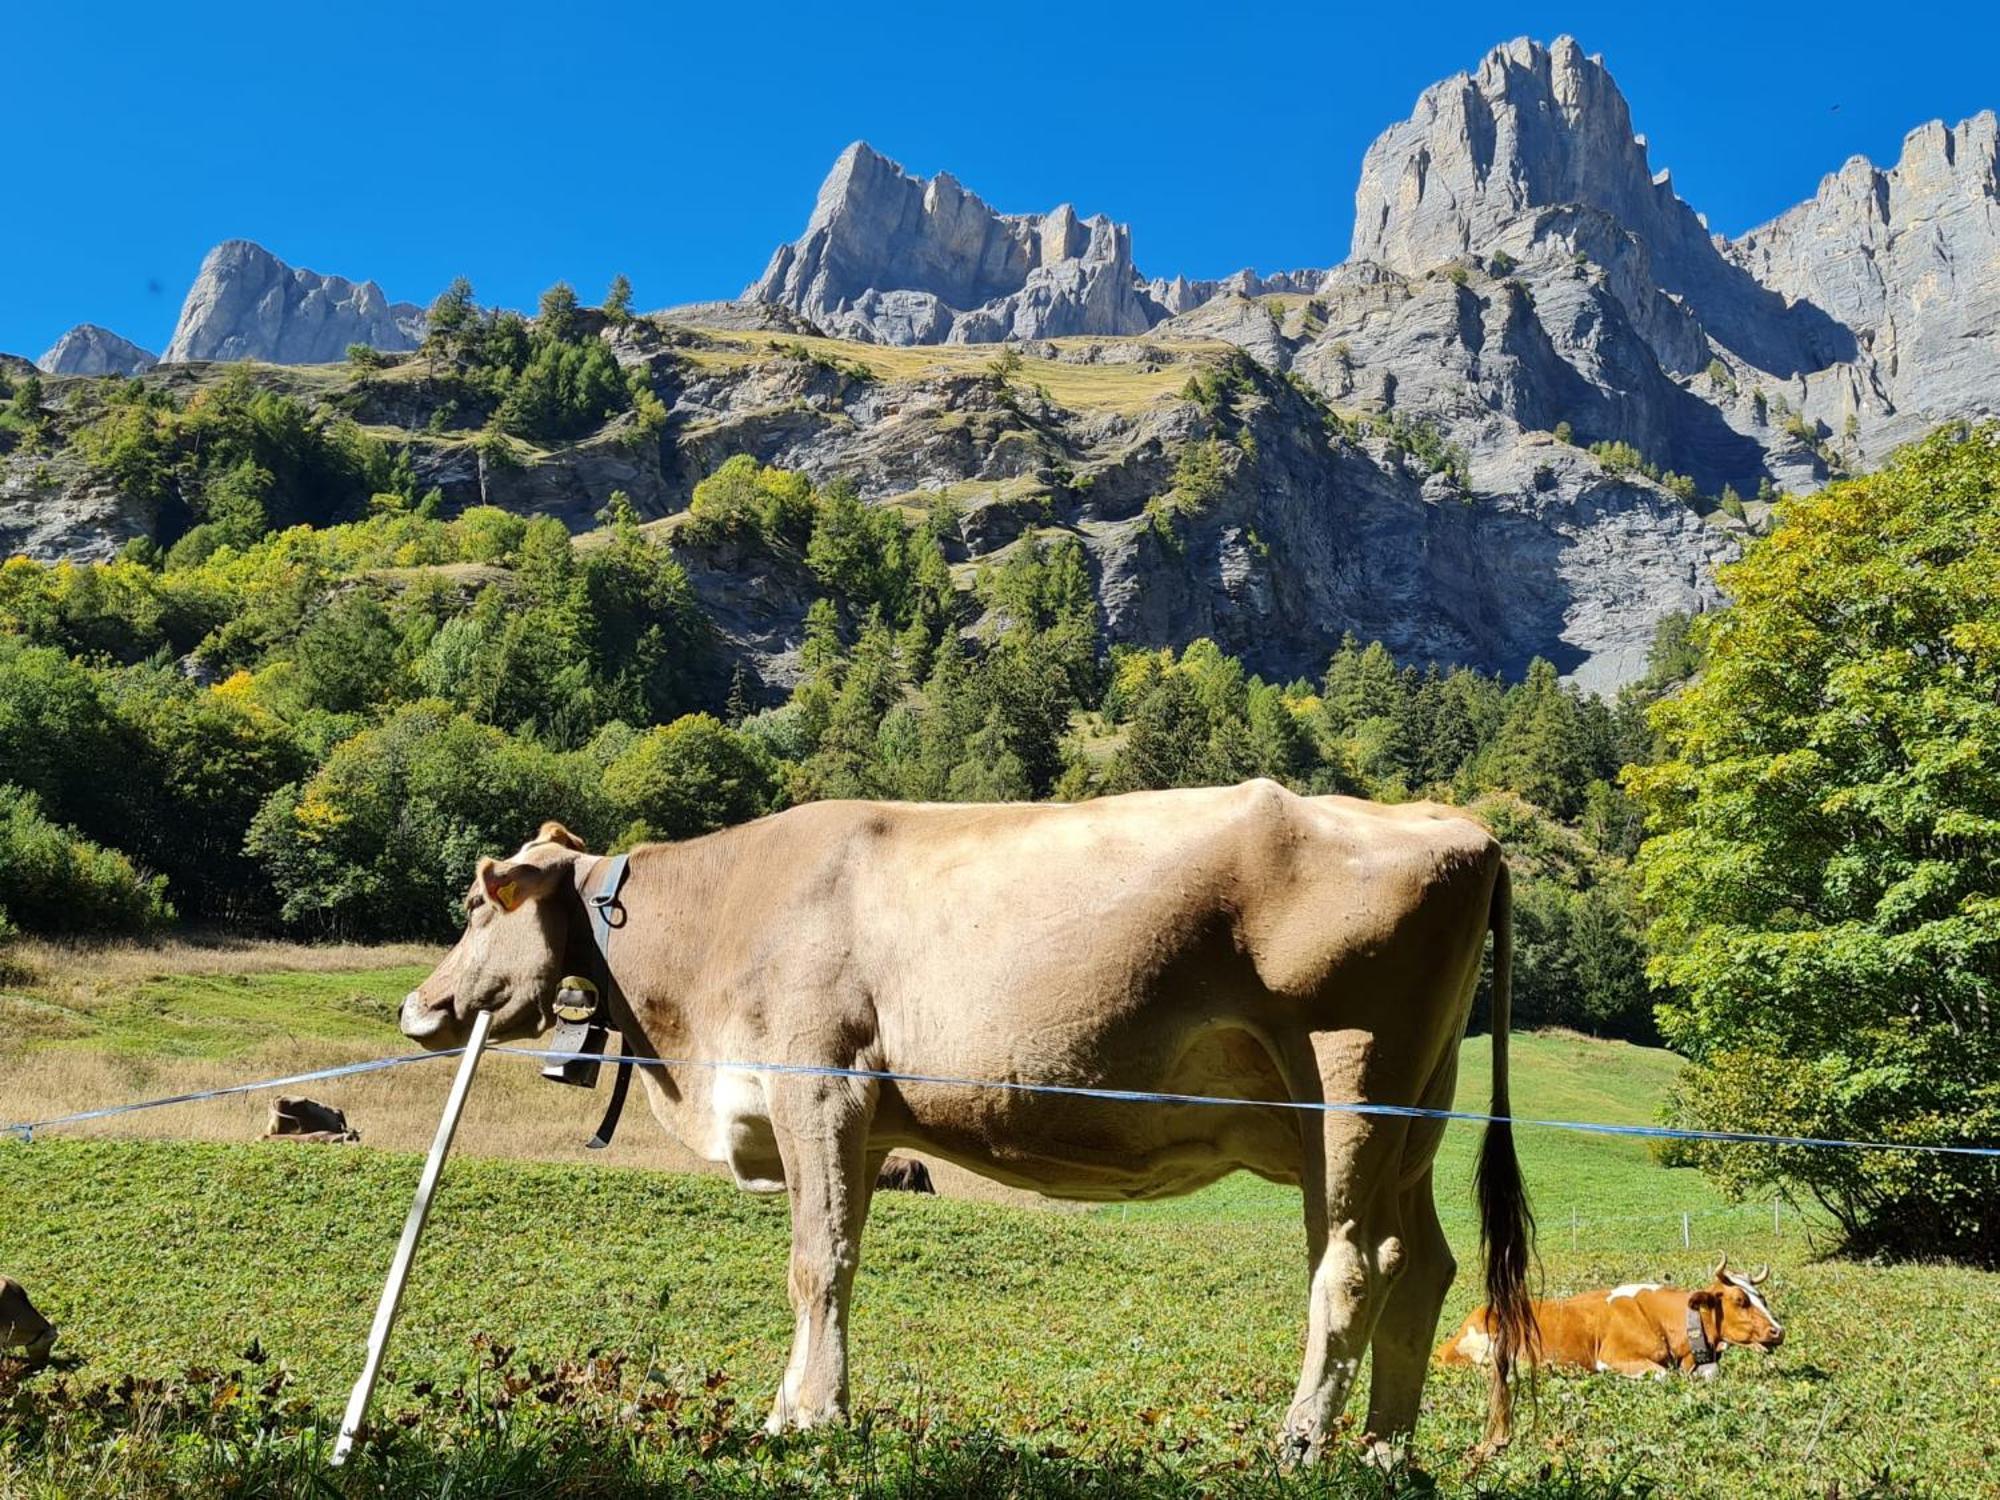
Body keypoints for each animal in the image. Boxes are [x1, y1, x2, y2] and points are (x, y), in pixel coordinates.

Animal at [398, 780, 1536, 1464]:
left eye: (478, 903)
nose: (420, 1008)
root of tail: (1459, 826)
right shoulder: (855, 1119)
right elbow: (829, 1254)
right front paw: (788, 1408)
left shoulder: (820, 1086)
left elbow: (819, 1261)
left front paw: (811, 1418)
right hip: (1413, 1115)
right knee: (1424, 1262)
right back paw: (1384, 1449)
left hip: (1346, 1083)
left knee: (1352, 1262)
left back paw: (1302, 1443)